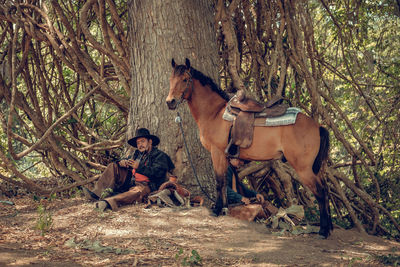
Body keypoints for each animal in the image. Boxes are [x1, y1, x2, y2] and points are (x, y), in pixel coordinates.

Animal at [165, 59, 332, 239]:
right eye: (171, 79)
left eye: (184, 79)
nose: (170, 102)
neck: (214, 113)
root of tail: (317, 126)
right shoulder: (224, 156)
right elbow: (225, 183)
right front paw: (224, 208)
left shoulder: (217, 153)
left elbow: (219, 181)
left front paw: (217, 209)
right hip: (315, 169)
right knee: (325, 190)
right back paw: (328, 228)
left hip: (303, 169)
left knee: (321, 192)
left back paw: (324, 230)